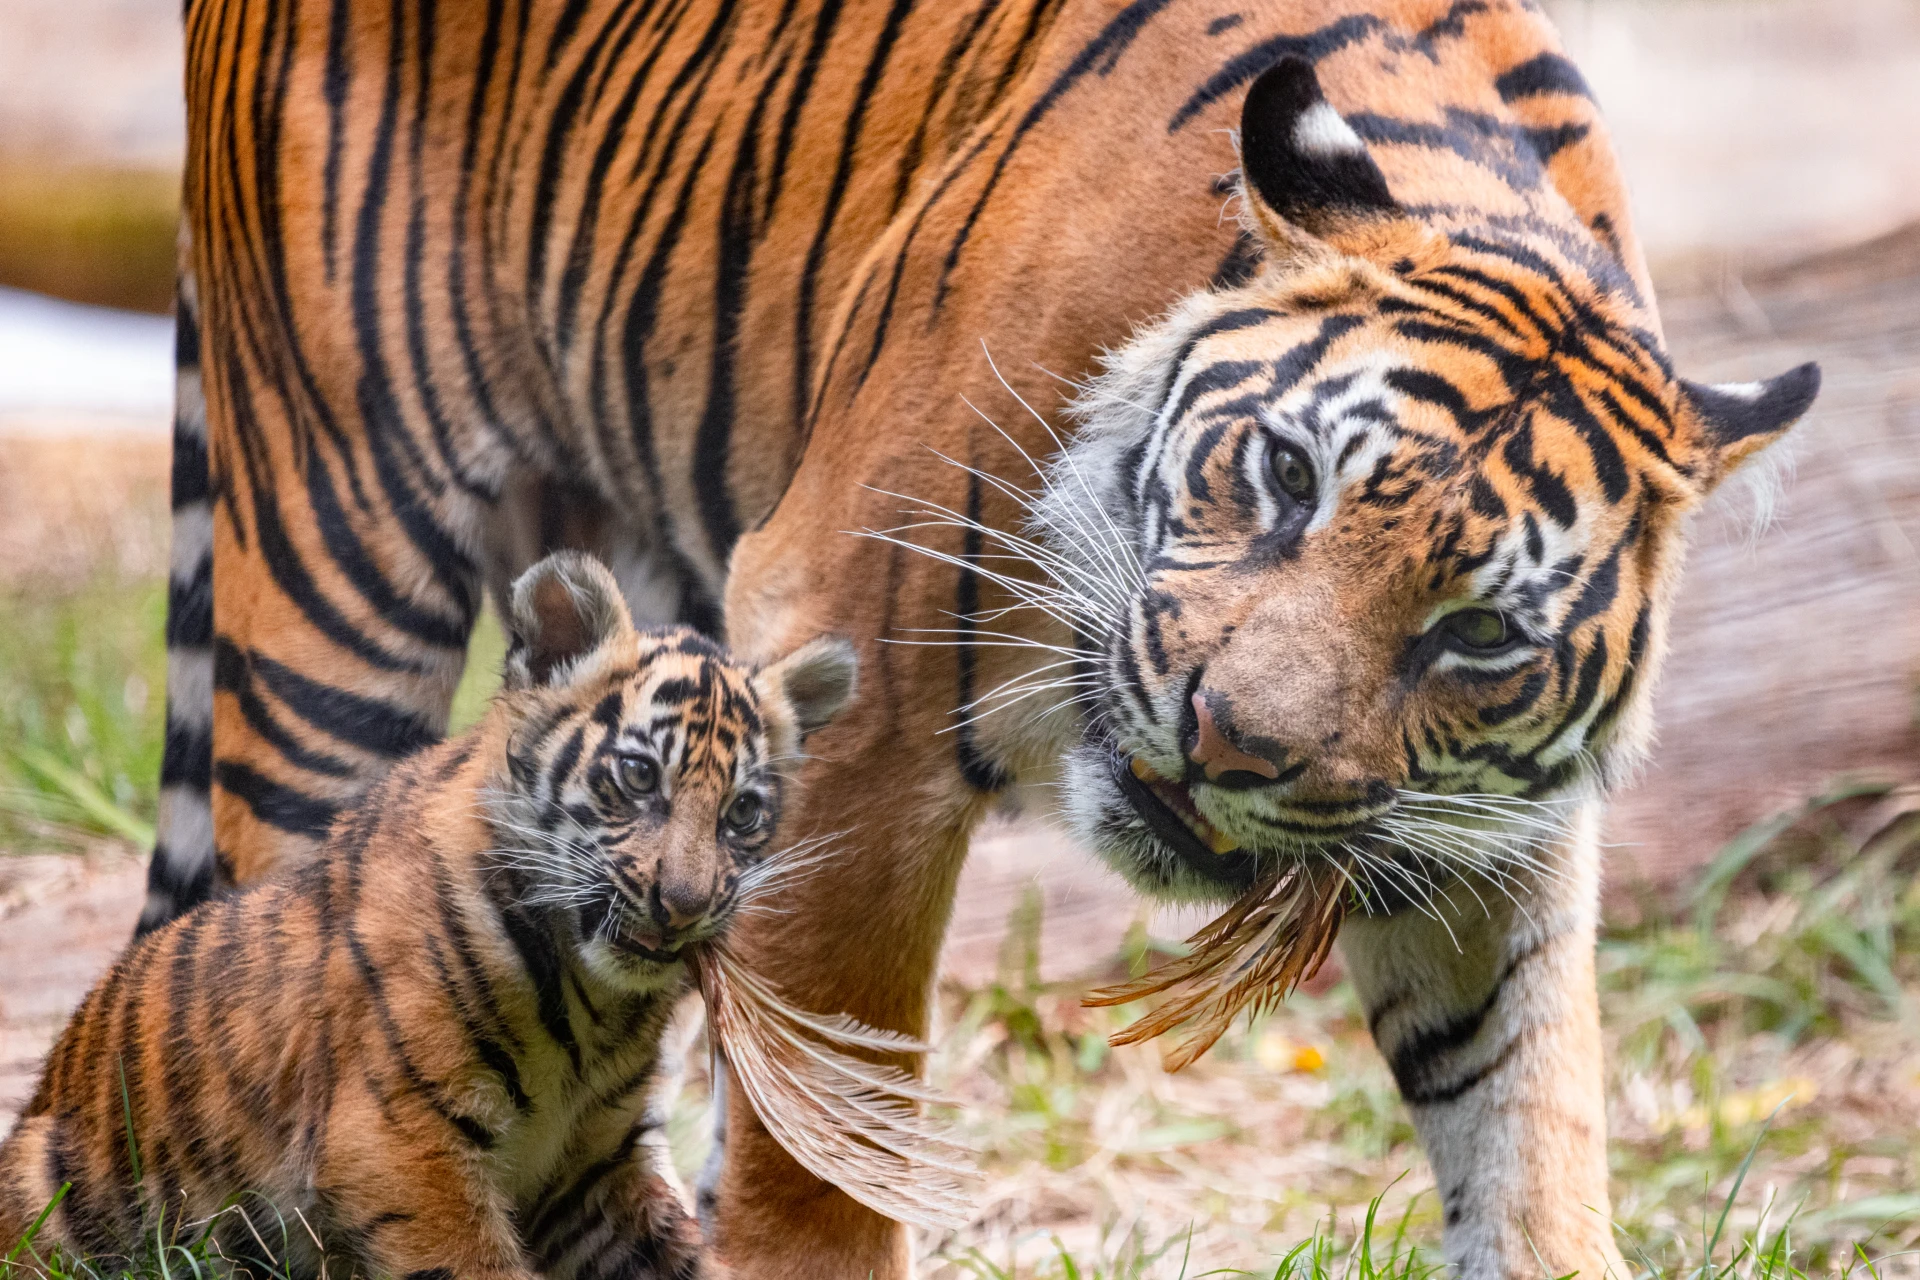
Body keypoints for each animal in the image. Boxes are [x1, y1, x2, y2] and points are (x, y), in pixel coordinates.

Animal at [4, 553, 858, 1280]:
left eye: (743, 813)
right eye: (640, 775)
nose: (684, 905)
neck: (595, 1010)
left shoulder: (597, 1167)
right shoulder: (400, 1144)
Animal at [146, 0, 1819, 1275]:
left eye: (1475, 633)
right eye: (1287, 476)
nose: (1232, 744)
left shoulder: (1477, 838)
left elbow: (1528, 1126)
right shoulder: (853, 689)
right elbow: (825, 1136)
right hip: (338, 551)